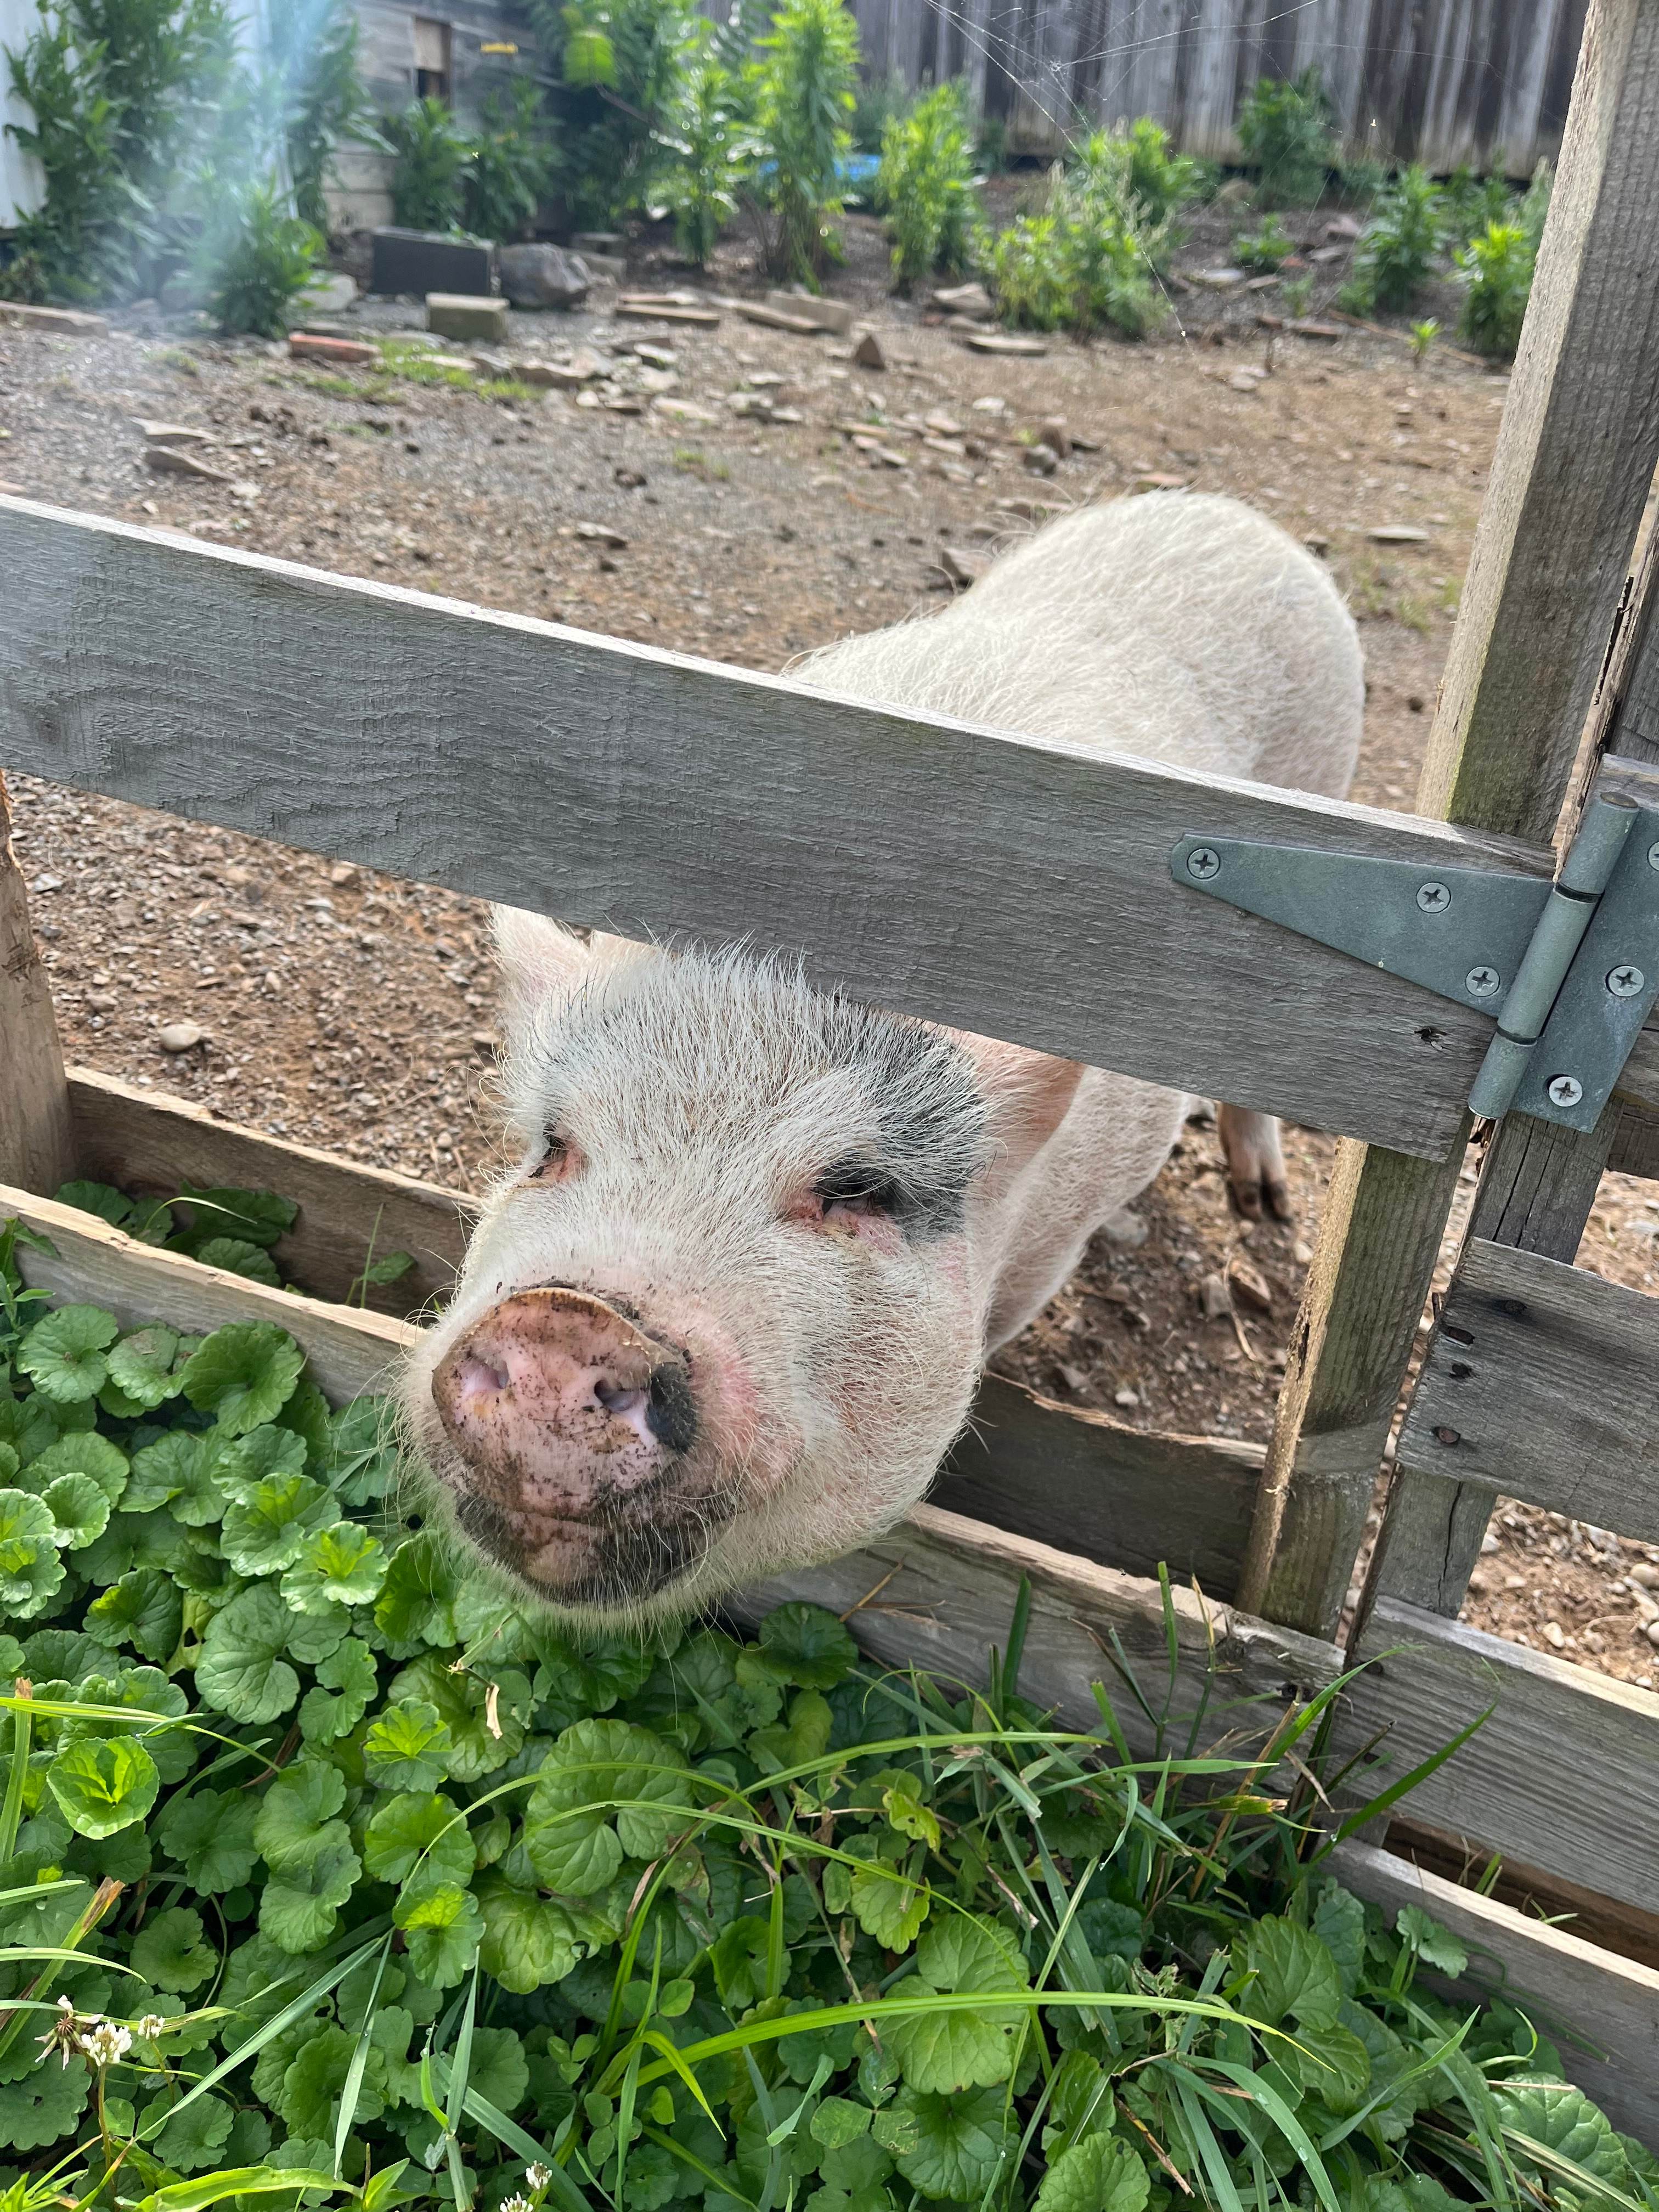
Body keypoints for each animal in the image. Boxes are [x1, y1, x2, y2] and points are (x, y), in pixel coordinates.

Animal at [404, 493, 1362, 1623]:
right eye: (552, 1147)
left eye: (856, 1189)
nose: (566, 1320)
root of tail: (1230, 513)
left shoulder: (1046, 1254)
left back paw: (1268, 1206)